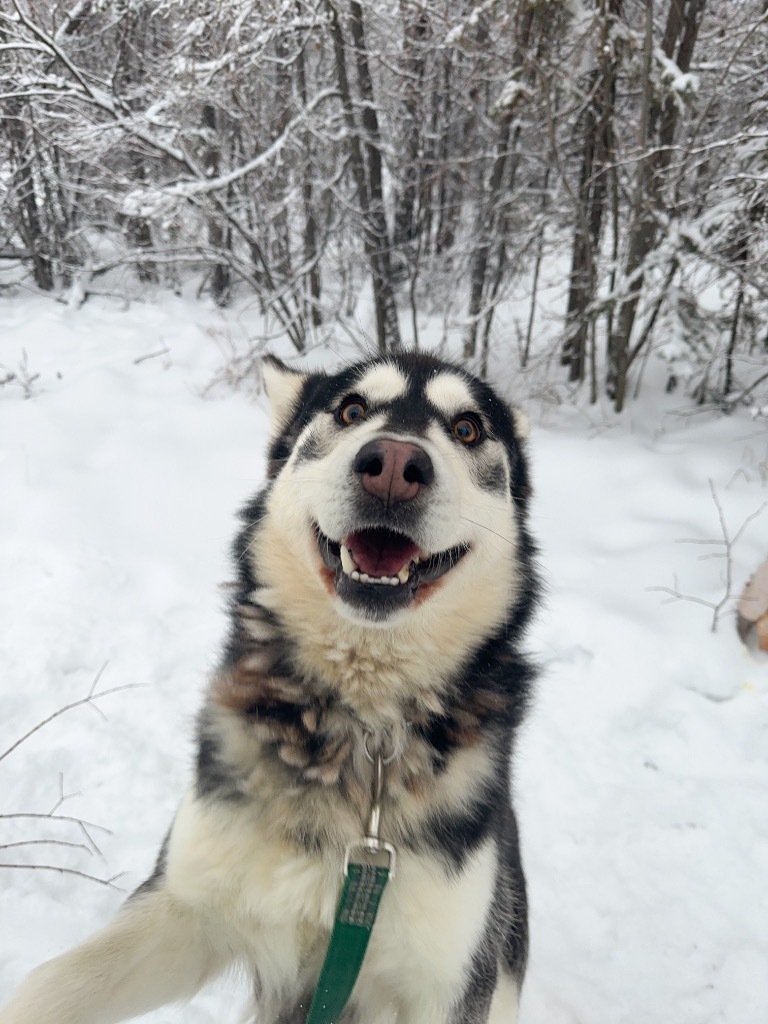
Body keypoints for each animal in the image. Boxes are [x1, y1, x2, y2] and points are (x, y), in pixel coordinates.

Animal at [0, 354, 540, 1024]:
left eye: (467, 428)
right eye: (352, 409)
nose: (394, 464)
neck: (361, 731)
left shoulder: (449, 985)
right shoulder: (184, 909)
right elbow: (45, 986)